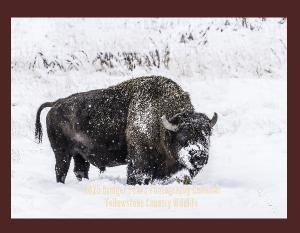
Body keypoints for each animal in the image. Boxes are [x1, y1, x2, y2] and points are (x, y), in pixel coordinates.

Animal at [35, 75, 217, 185]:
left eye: (207, 135)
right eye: (183, 136)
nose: (200, 157)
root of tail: (56, 103)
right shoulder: (139, 161)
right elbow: (137, 175)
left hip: (79, 155)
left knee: (80, 171)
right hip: (62, 152)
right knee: (61, 170)